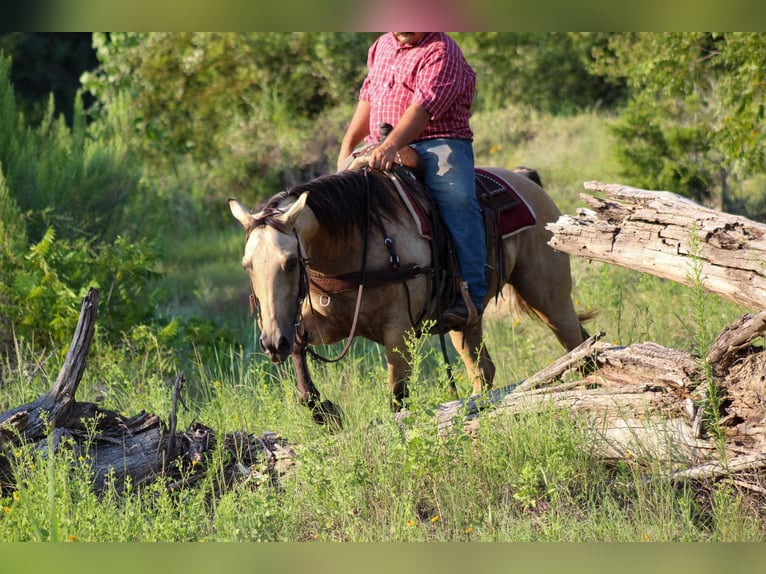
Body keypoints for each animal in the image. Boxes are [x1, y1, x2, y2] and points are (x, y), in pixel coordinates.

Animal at [228, 166, 590, 425]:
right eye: (247, 265)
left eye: (290, 262)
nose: (271, 342)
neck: (356, 244)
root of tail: (526, 180)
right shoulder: (326, 324)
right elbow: (300, 350)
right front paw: (324, 412)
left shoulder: (398, 333)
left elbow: (397, 398)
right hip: (465, 322)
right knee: (483, 371)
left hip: (549, 297)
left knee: (577, 344)